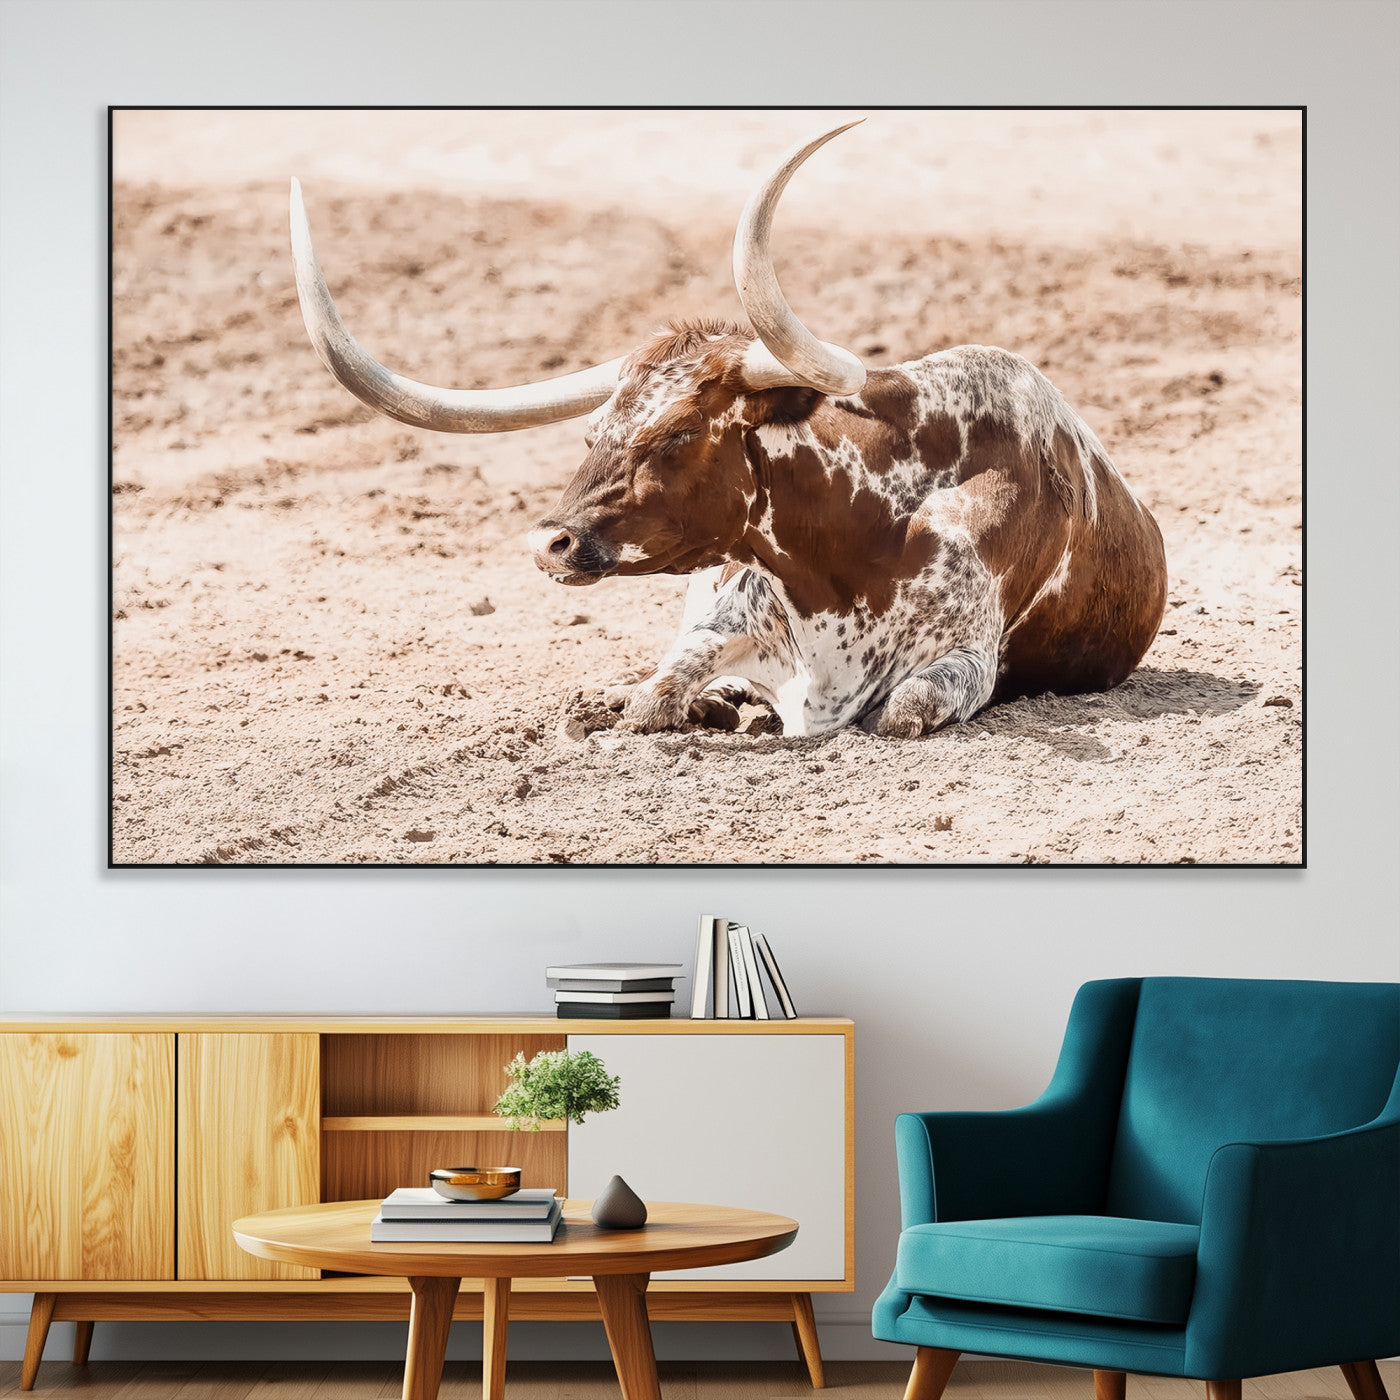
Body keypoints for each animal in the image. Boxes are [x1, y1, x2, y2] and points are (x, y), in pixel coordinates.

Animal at [289, 122, 1167, 738]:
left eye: (678, 433)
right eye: (592, 432)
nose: (549, 543)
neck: (854, 549)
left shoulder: (965, 662)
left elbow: (903, 709)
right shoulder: (721, 619)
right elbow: (654, 697)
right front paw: (683, 705)